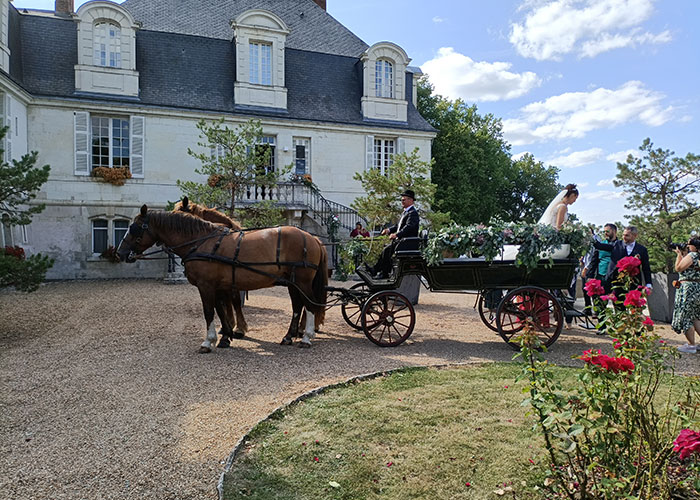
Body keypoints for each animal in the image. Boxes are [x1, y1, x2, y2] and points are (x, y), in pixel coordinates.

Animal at [117, 205, 328, 354]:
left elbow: (209, 312)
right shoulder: (218, 286)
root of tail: (312, 238)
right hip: (293, 282)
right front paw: (225, 336)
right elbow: (220, 310)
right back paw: (289, 336)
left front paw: (208, 341)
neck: (202, 242)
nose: (120, 253)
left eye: (135, 228)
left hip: (302, 281)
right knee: (298, 306)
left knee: (310, 305)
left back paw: (306, 338)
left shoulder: (206, 286)